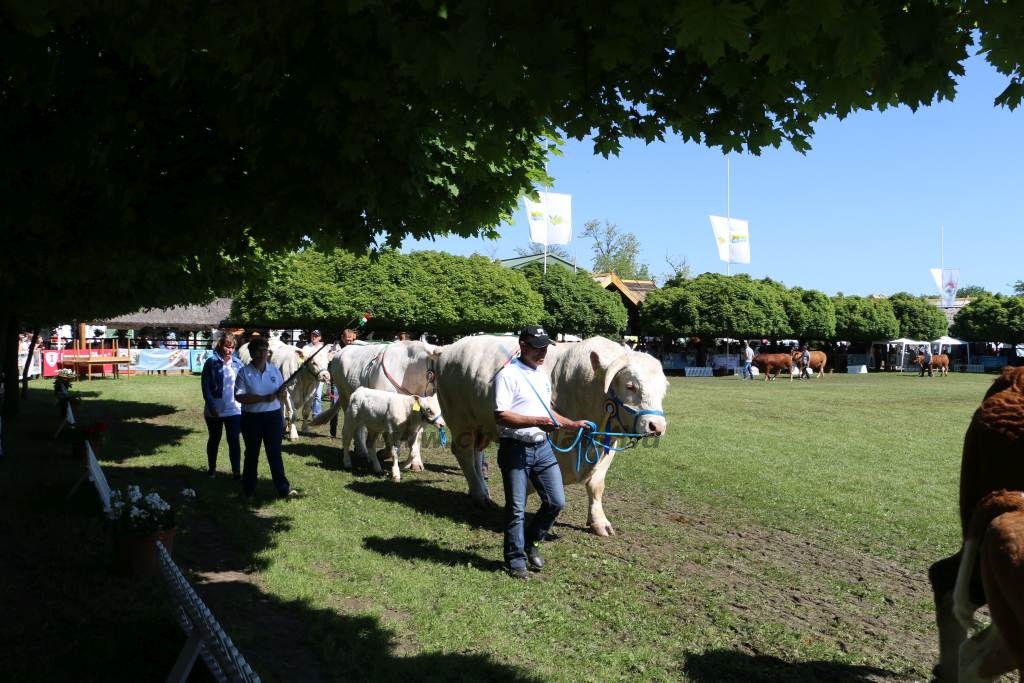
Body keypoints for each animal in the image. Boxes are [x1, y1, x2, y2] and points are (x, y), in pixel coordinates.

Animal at [309, 339, 442, 473]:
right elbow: (390, 442)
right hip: (345, 398)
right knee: (356, 429)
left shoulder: (422, 416)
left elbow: (417, 440)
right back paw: (362, 452)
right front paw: (383, 454)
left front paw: (415, 464)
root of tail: (342, 350)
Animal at [438, 333, 671, 536]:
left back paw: (480, 490)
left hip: (481, 425)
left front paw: (599, 522)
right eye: (631, 386)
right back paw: (480, 495)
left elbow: (596, 486)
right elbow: (530, 485)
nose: (656, 426)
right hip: (461, 422)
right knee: (465, 454)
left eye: (662, 389)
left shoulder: (607, 444)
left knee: (476, 455)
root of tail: (450, 348)